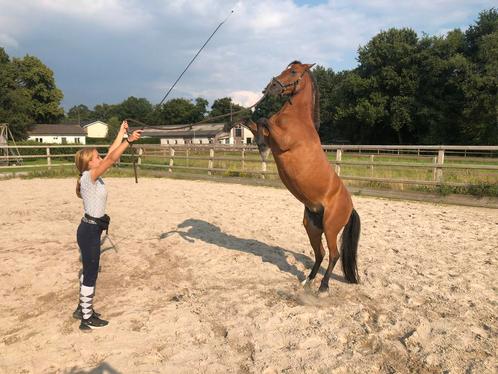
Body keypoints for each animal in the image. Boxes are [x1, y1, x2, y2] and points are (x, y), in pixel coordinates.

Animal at [247, 60, 360, 292]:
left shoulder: (282, 141)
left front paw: (261, 147)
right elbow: (256, 123)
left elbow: (264, 120)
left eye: (293, 72)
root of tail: (350, 206)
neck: (296, 118)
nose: (270, 87)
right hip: (312, 226)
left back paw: (322, 288)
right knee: (320, 253)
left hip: (330, 228)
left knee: (333, 255)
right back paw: (308, 280)